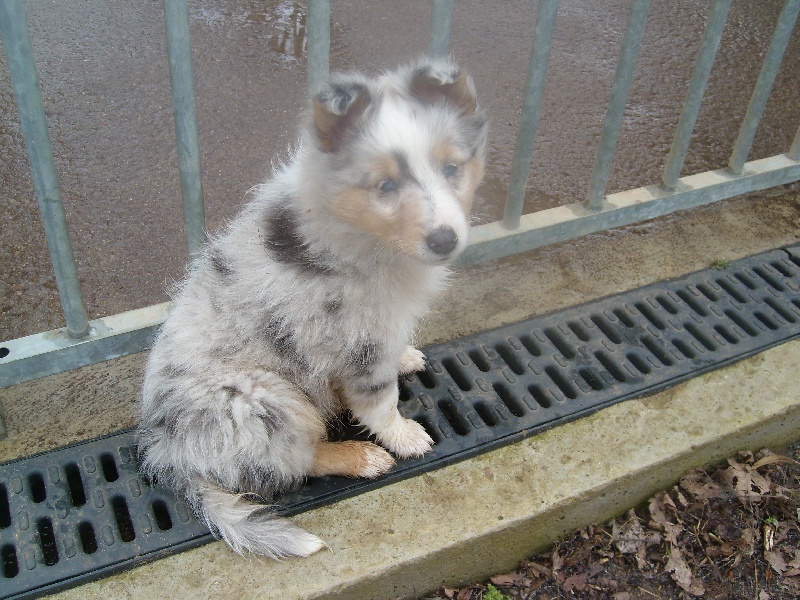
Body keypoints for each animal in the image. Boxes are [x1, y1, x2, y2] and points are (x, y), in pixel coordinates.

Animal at [138, 57, 488, 556]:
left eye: (452, 167)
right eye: (384, 185)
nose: (445, 240)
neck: (364, 236)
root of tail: (169, 453)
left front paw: (404, 358)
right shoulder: (358, 339)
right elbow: (380, 403)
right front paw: (404, 437)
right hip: (264, 400)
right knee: (293, 462)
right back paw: (359, 457)